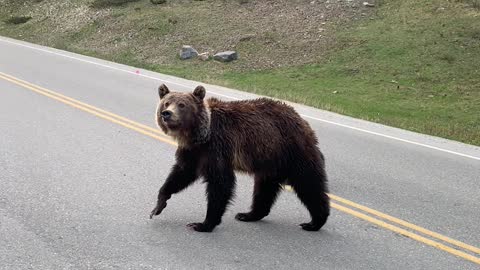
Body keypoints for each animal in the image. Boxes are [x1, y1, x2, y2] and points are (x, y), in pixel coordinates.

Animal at [150, 84, 330, 232]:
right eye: (166, 103)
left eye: (182, 105)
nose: (167, 114)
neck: (198, 136)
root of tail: (303, 121)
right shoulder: (193, 152)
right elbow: (181, 173)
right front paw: (158, 205)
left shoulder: (218, 147)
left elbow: (220, 182)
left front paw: (203, 224)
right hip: (269, 160)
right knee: (264, 188)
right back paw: (248, 214)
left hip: (293, 151)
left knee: (308, 183)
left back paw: (315, 222)